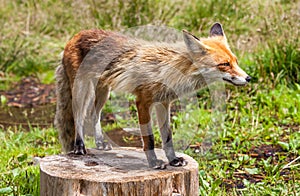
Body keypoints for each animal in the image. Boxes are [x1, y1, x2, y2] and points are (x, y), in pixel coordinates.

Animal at [54, 23, 251, 169]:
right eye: (224, 64)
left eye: (235, 61)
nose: (249, 78)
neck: (171, 69)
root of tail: (77, 34)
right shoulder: (143, 101)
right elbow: (149, 138)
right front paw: (154, 162)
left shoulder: (164, 102)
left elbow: (167, 137)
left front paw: (173, 160)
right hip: (81, 90)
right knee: (79, 117)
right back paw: (79, 146)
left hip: (103, 91)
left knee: (94, 115)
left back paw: (100, 142)